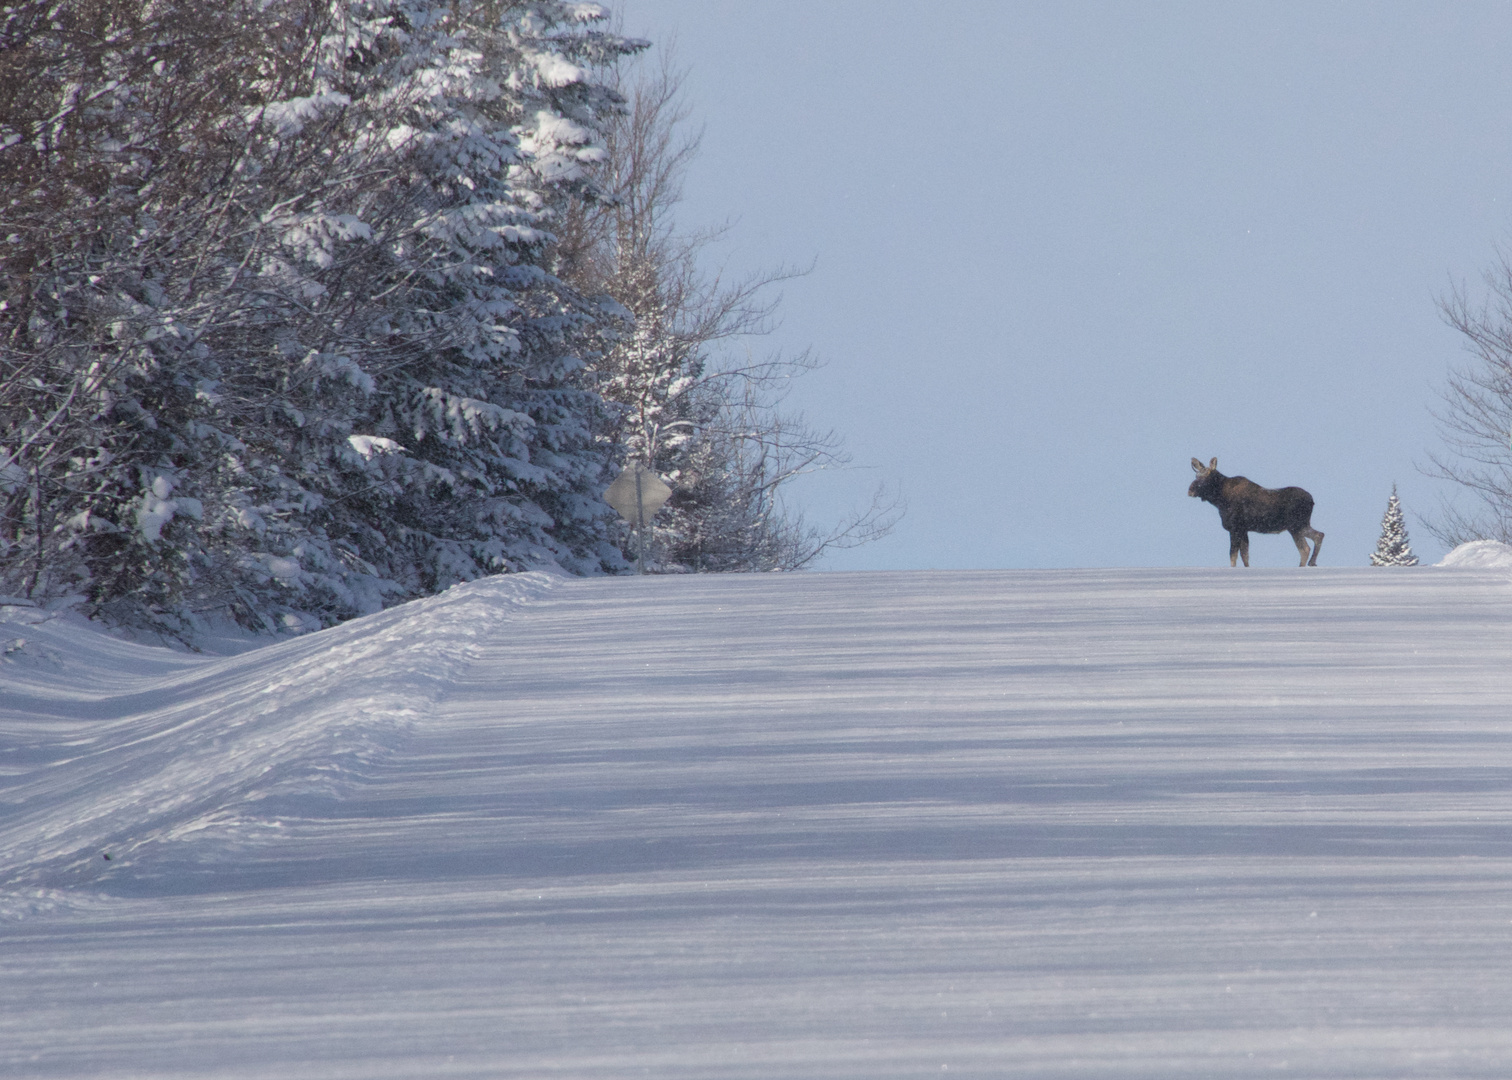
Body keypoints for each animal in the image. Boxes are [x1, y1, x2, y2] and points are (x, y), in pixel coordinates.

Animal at [1191, 456, 1324, 568]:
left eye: (1208, 476)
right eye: (1196, 476)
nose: (1190, 490)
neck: (1219, 501)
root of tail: (1312, 501)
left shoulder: (1235, 528)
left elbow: (1233, 555)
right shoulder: (1243, 529)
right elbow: (1245, 556)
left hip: (1295, 526)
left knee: (1305, 548)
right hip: (1301, 525)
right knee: (1319, 535)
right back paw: (1312, 562)